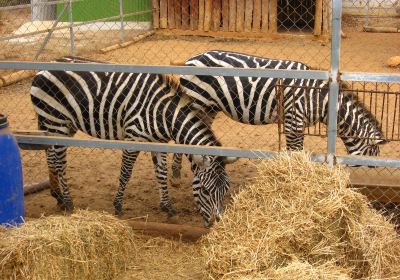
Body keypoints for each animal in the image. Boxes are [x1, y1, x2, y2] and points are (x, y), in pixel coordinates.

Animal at [31, 66, 238, 226]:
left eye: (226, 189)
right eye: (205, 190)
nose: (216, 223)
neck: (163, 114)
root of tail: (41, 70)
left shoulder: (159, 143)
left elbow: (161, 174)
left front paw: (168, 208)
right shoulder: (132, 138)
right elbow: (125, 173)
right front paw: (118, 206)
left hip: (63, 126)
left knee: (51, 157)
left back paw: (57, 196)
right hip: (56, 122)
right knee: (60, 164)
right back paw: (68, 202)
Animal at [170, 49, 386, 177]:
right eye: (373, 158)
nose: (375, 170)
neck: (320, 100)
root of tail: (191, 59)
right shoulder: (294, 121)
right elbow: (295, 152)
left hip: (210, 107)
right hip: (197, 101)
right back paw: (176, 173)